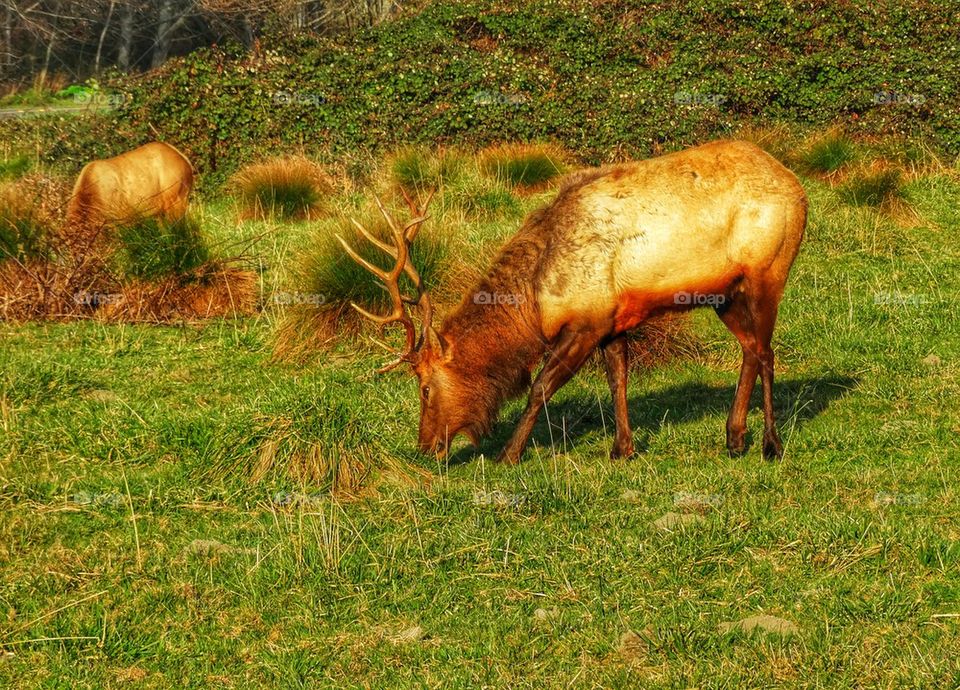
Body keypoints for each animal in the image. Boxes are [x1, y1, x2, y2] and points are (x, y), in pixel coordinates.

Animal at [339, 140, 807, 464]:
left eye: (424, 387)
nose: (425, 446)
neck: (536, 302)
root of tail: (798, 186)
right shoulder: (613, 321)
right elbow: (618, 380)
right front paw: (622, 448)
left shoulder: (586, 323)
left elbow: (539, 388)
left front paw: (509, 453)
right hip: (724, 295)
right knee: (750, 349)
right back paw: (734, 437)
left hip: (768, 271)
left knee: (766, 352)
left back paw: (770, 443)